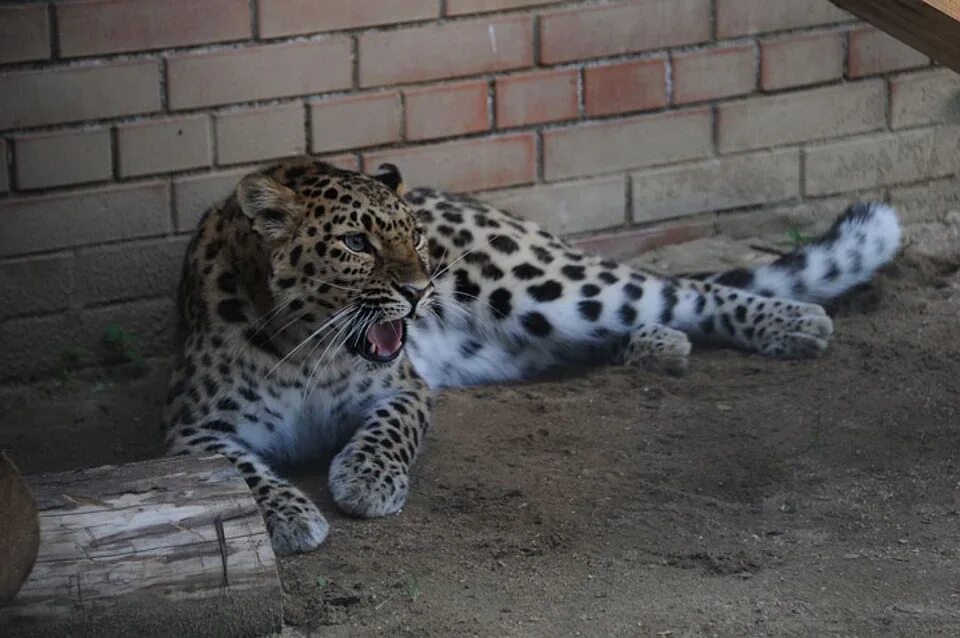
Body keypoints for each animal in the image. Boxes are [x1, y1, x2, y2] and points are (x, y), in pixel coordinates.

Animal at [161, 156, 904, 556]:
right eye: (354, 243)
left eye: (412, 237)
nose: (419, 289)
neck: (310, 345)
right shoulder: (190, 433)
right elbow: (242, 475)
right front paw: (289, 518)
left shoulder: (402, 387)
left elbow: (389, 431)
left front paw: (367, 481)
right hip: (525, 331)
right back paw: (659, 347)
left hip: (539, 283)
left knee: (679, 289)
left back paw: (794, 323)